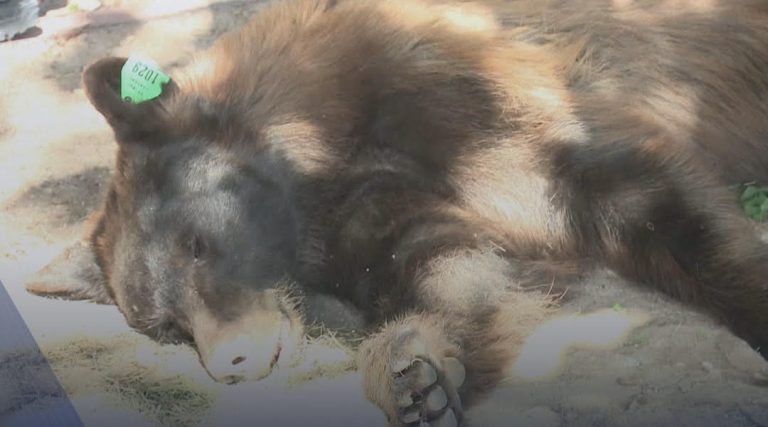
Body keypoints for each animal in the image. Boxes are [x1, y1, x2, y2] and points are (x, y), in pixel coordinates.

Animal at [26, 0, 768, 426]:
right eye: (165, 325)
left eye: (198, 242)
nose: (231, 361)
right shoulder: (373, 211)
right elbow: (451, 267)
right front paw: (418, 373)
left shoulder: (472, 106)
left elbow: (644, 196)